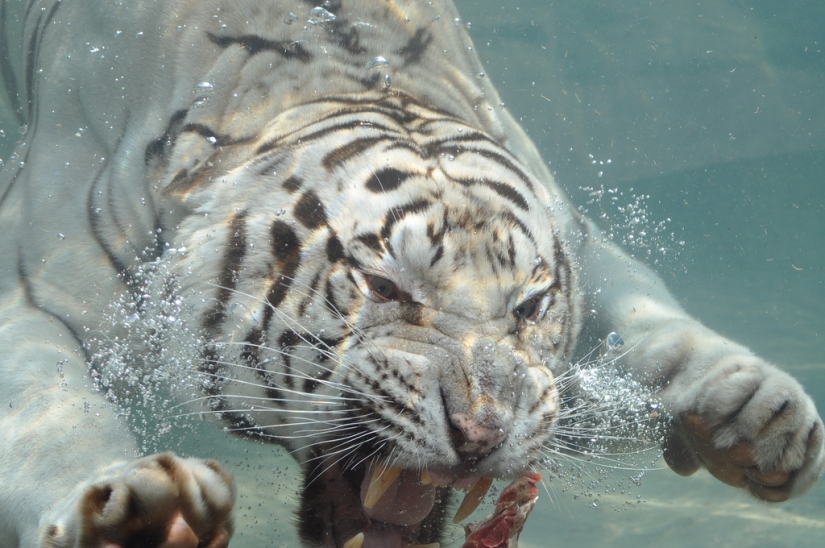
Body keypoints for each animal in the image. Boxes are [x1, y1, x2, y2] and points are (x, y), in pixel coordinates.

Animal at [0, 0, 822, 547]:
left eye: (529, 307)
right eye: (386, 287)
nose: (483, 433)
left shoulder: (578, 237)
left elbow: (652, 317)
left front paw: (754, 409)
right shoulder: (34, 278)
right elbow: (55, 411)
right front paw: (140, 508)